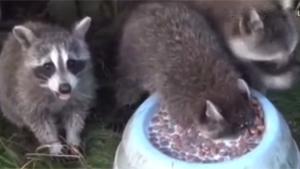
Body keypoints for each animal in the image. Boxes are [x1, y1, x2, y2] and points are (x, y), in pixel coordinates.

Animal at [116, 1, 254, 138]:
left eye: (246, 125)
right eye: (237, 131)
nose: (248, 134)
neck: (217, 87)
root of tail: (144, 7)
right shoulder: (176, 97)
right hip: (132, 63)